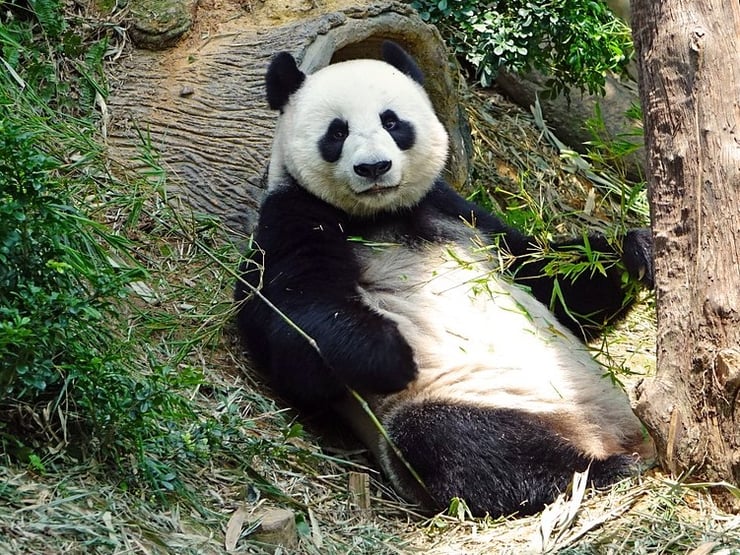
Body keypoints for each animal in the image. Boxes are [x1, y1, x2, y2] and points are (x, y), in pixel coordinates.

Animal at [235, 41, 654, 518]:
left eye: (392, 122)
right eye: (337, 132)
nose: (374, 167)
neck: (381, 215)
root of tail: (599, 432)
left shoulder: (460, 213)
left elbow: (550, 280)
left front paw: (637, 251)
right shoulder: (293, 218)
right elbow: (291, 323)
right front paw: (391, 355)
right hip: (469, 398)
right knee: (463, 444)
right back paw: (600, 470)